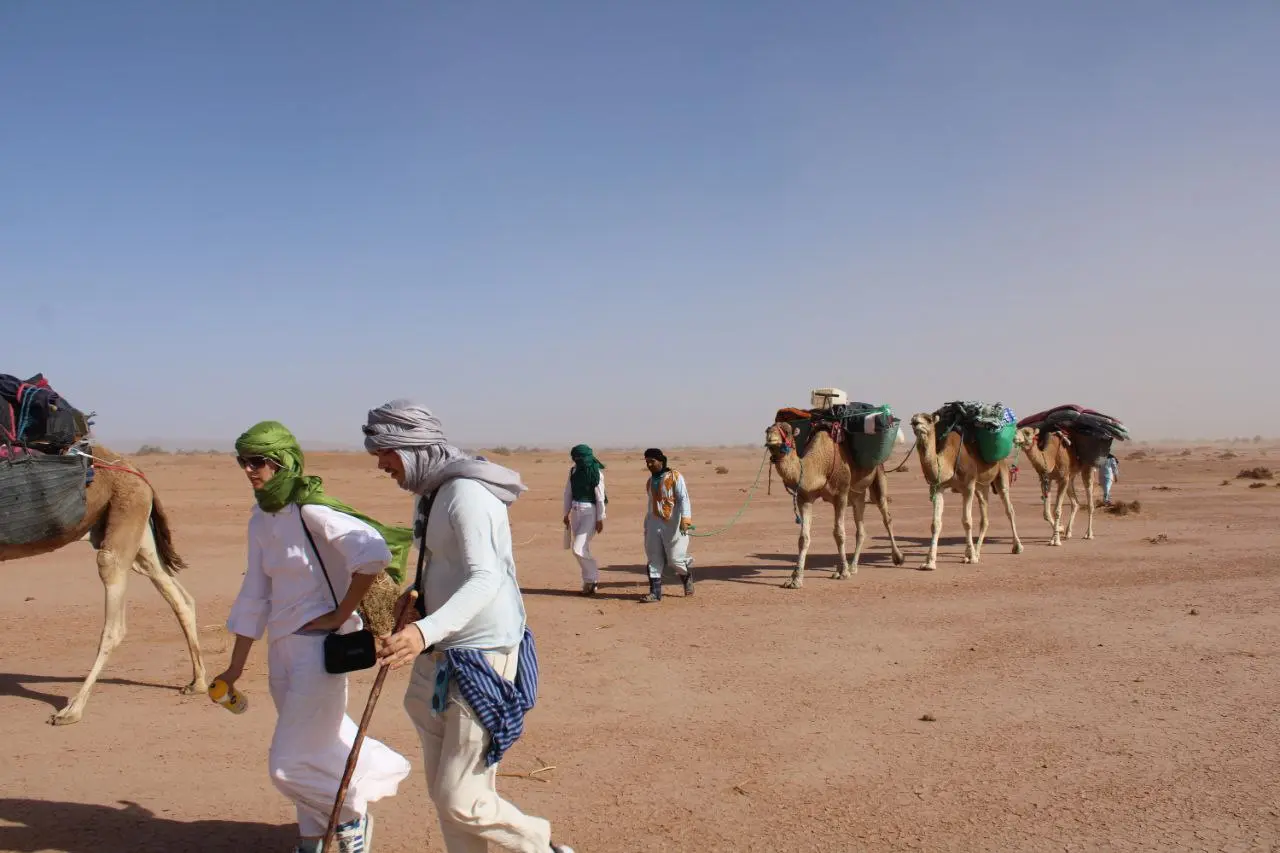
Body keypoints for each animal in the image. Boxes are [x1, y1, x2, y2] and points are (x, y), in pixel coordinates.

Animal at [0, 445, 207, 725]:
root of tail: (137, 471)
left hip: (124, 520)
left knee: (116, 622)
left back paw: (72, 710)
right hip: (137, 532)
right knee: (179, 596)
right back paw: (198, 683)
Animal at [764, 421, 906, 588]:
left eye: (786, 431)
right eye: (767, 430)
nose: (770, 438)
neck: (819, 465)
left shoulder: (841, 494)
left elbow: (839, 533)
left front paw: (843, 572)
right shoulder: (805, 498)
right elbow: (803, 538)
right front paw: (795, 579)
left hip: (878, 476)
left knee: (886, 516)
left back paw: (897, 557)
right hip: (857, 495)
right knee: (861, 528)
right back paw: (853, 567)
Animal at [909, 413, 1023, 571]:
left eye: (928, 419)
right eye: (913, 420)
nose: (915, 422)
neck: (949, 461)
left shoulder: (968, 486)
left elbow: (967, 521)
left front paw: (972, 557)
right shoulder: (938, 487)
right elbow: (935, 524)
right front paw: (929, 562)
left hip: (1001, 476)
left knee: (1009, 510)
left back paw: (1017, 547)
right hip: (981, 487)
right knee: (984, 518)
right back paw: (976, 552)